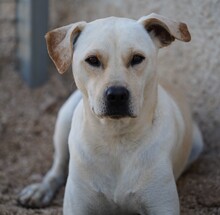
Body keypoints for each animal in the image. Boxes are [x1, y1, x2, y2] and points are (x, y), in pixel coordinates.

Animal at [18, 13, 204, 215]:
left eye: (137, 58)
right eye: (92, 60)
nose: (117, 94)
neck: (115, 138)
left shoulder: (162, 205)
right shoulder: (78, 206)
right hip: (65, 117)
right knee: (58, 167)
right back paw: (40, 190)